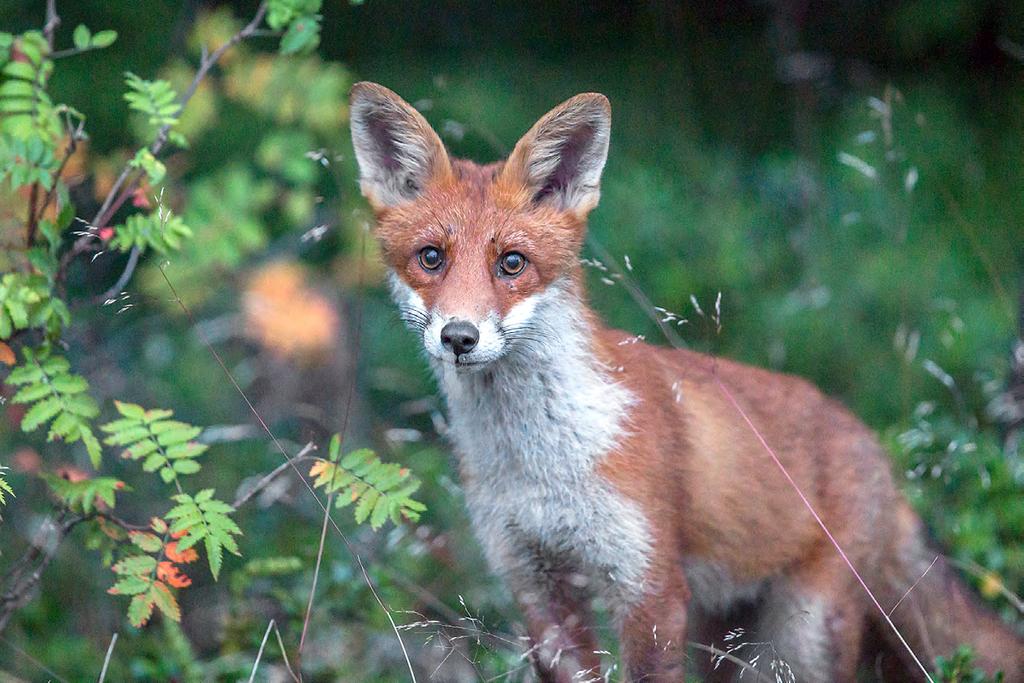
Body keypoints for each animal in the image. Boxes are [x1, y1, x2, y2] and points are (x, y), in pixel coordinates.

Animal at [348, 82, 1019, 679]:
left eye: (512, 263)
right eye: (431, 258)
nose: (459, 337)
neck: (539, 463)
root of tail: (881, 456)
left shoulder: (647, 584)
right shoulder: (536, 587)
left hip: (803, 635)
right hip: (720, 637)